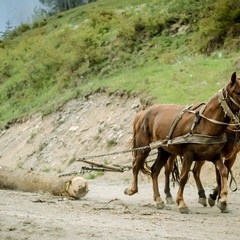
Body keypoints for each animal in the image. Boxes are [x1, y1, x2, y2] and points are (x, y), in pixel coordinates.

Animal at [124, 71, 240, 214]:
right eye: (237, 91)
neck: (205, 124)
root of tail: (143, 113)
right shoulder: (189, 155)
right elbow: (183, 178)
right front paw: (181, 203)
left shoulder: (216, 155)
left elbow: (223, 172)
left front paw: (222, 200)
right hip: (143, 148)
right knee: (136, 166)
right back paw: (132, 190)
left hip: (165, 151)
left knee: (155, 171)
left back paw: (159, 199)